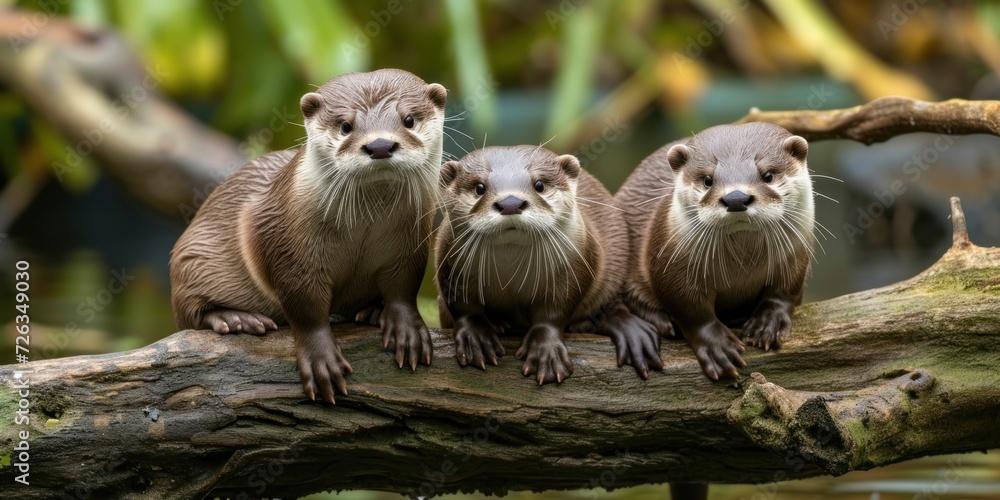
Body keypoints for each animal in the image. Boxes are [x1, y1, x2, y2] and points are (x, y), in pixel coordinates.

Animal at [170, 69, 447, 403]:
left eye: (408, 120)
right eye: (345, 126)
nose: (380, 145)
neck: (366, 228)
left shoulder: (410, 244)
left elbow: (403, 288)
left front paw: (407, 329)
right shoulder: (292, 251)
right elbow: (305, 307)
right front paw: (320, 358)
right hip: (193, 257)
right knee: (189, 315)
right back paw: (235, 319)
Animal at [435, 146, 663, 383]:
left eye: (539, 185)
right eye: (479, 187)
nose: (510, 203)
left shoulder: (574, 270)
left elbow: (554, 312)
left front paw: (546, 351)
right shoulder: (448, 259)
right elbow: (462, 305)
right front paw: (476, 337)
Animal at [615, 123, 814, 380]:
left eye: (768, 175)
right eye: (708, 179)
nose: (736, 198)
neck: (742, 268)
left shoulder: (796, 253)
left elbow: (785, 290)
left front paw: (769, 323)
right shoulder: (672, 266)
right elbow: (690, 309)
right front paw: (717, 346)